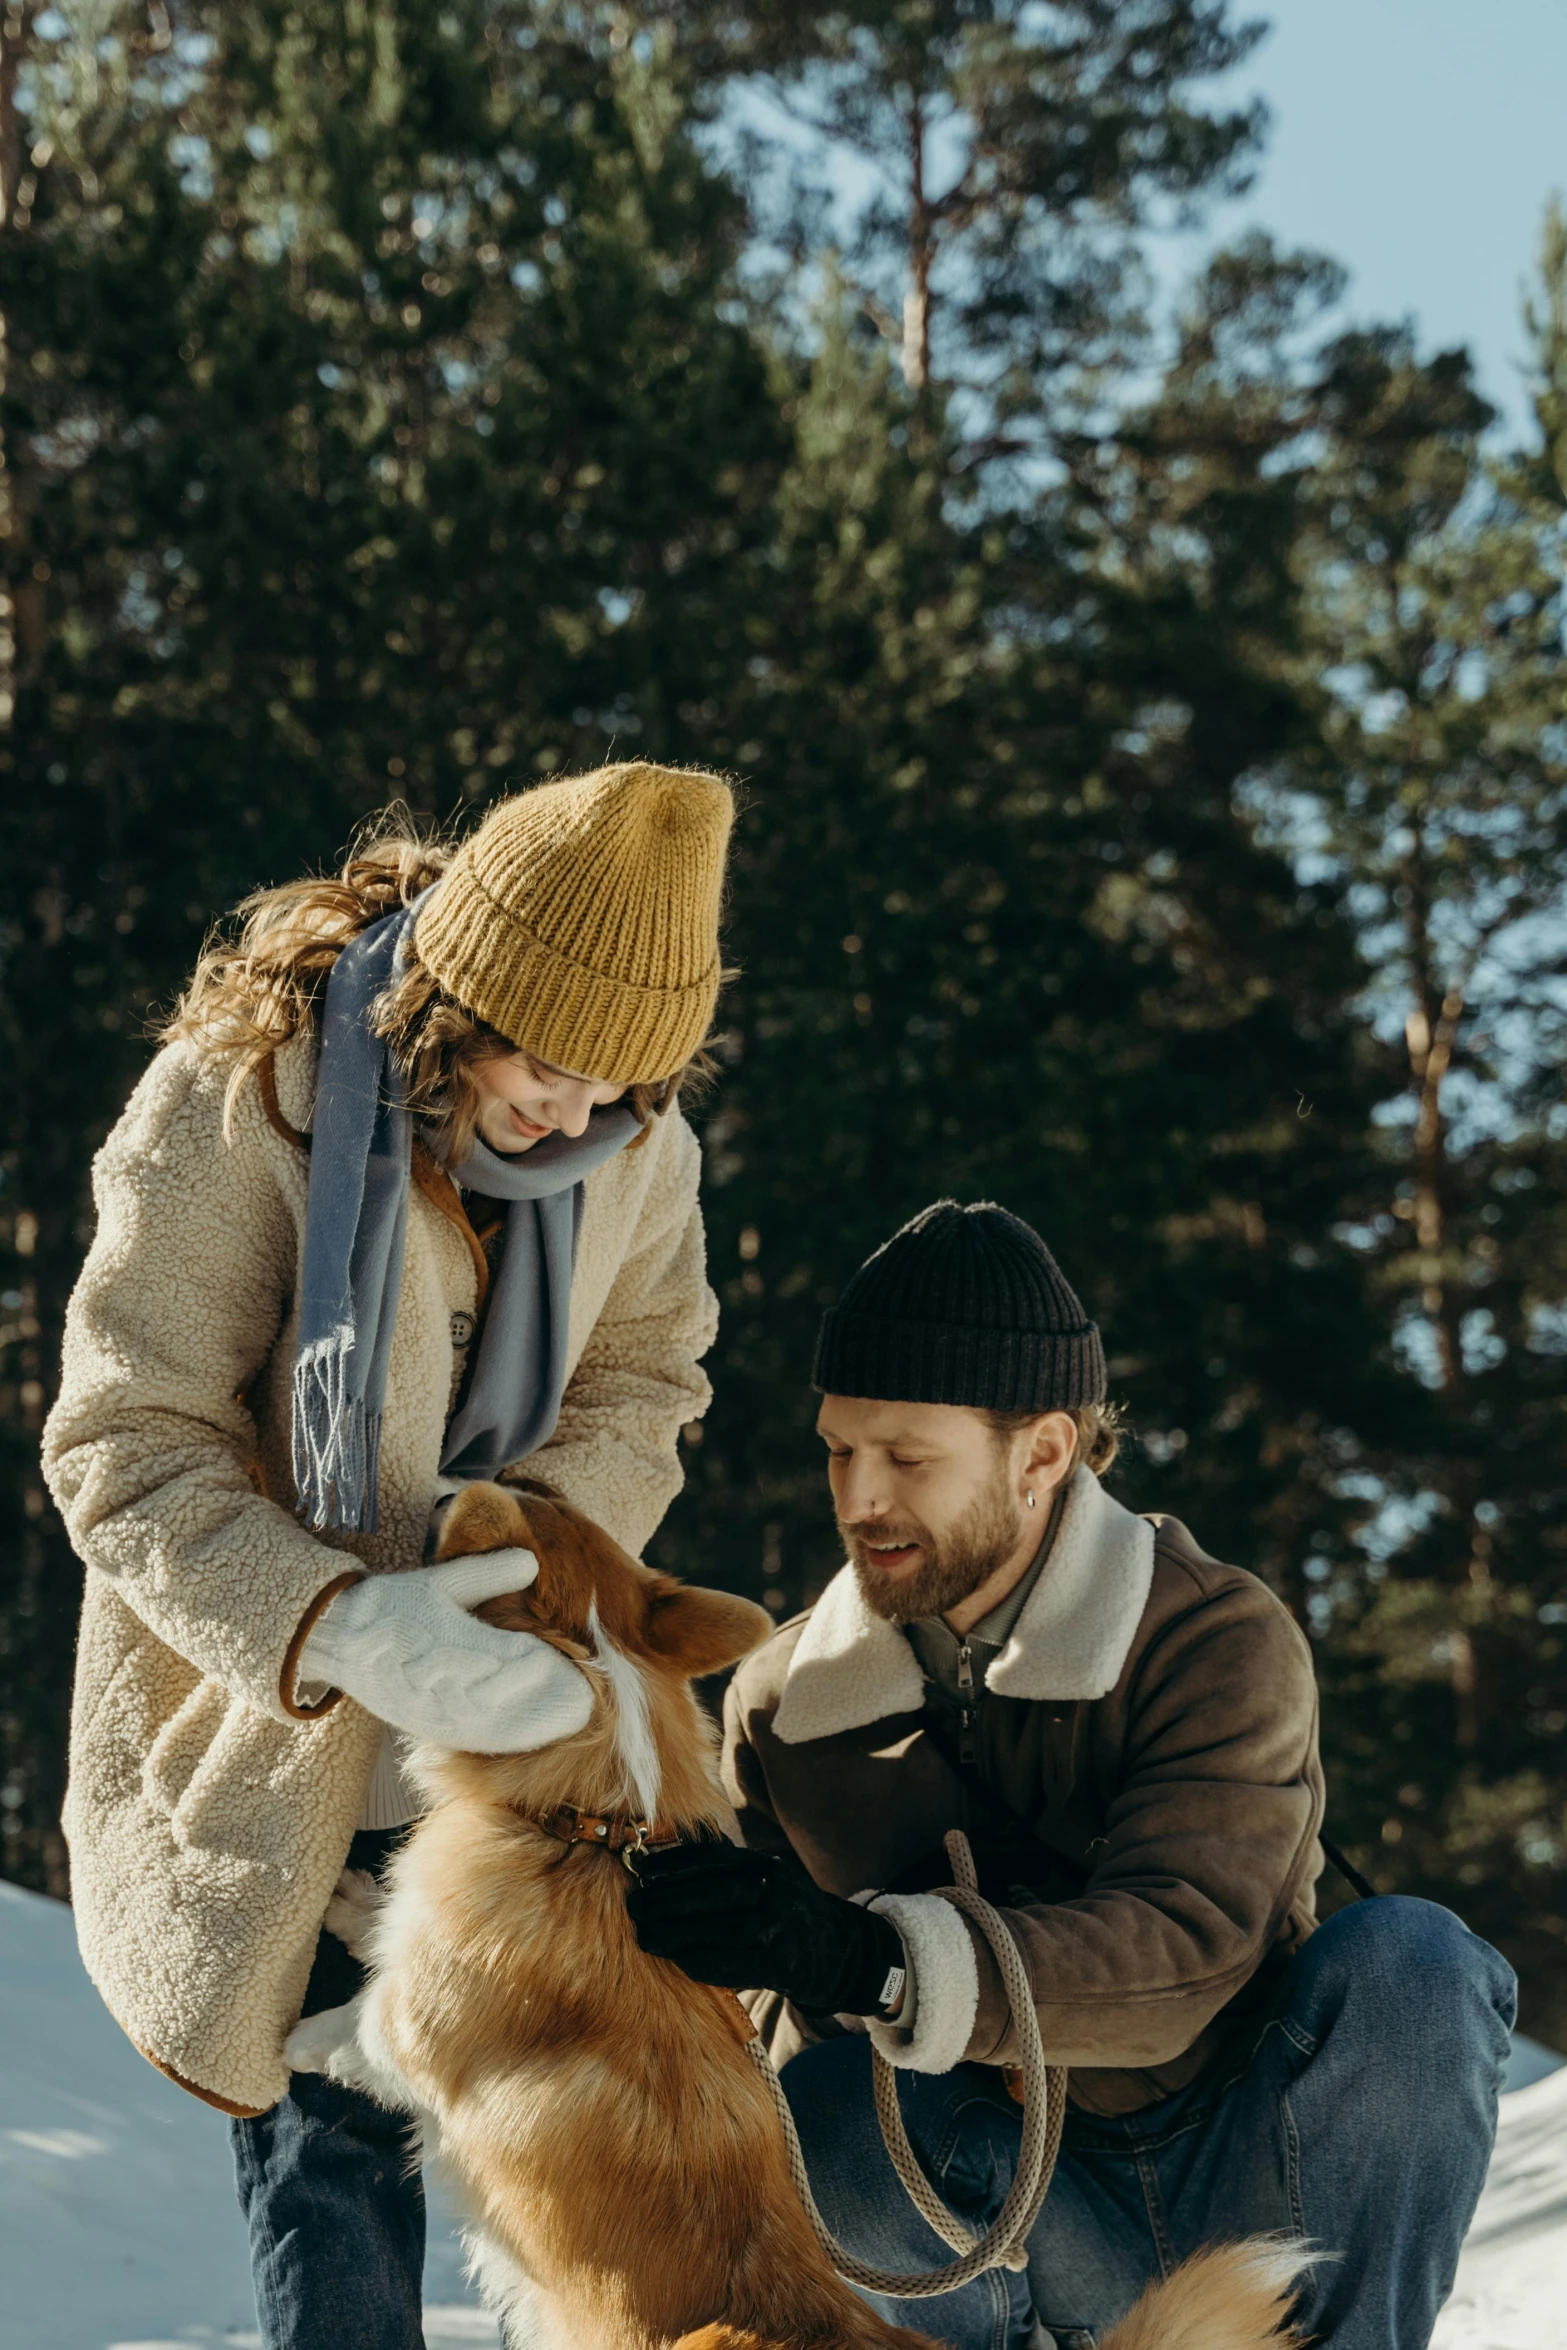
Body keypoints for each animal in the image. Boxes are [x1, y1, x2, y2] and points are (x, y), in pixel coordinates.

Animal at [285, 1485, 1315, 2350]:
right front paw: (352, 1899)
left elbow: (350, 2029)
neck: (596, 1828)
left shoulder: (409, 2033)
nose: (442, 1488)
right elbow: (375, 1931)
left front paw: (292, 2041)